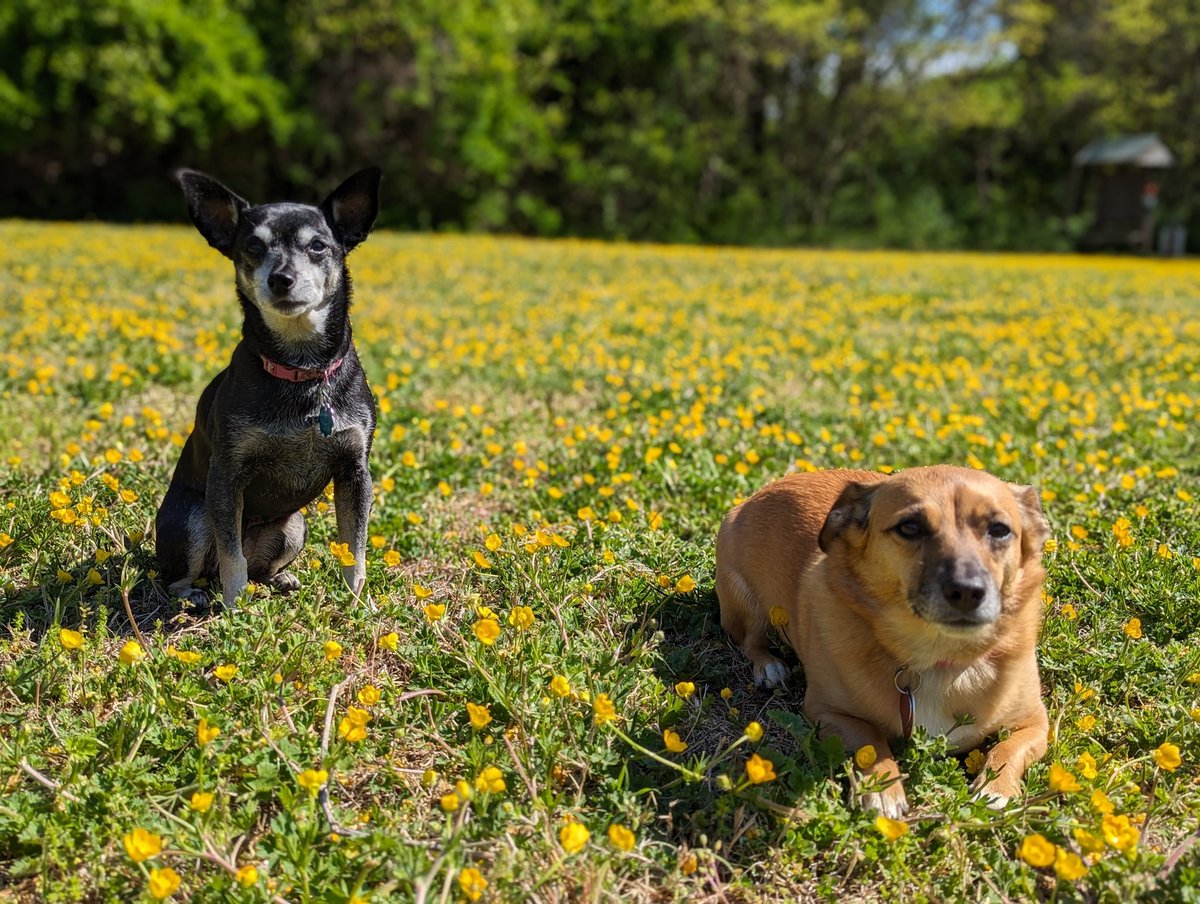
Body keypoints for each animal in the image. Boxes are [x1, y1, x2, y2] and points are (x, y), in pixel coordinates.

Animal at [156, 168, 379, 607]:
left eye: (318, 246)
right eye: (254, 246)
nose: (281, 279)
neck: (302, 369)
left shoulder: (355, 473)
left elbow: (355, 548)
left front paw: (358, 602)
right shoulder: (227, 475)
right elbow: (232, 557)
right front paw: (234, 607)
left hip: (293, 527)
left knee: (260, 566)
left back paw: (279, 579)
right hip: (194, 519)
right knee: (187, 573)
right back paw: (196, 595)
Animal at [715, 468, 1046, 816]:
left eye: (999, 530)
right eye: (909, 527)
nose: (967, 590)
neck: (937, 655)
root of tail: (756, 496)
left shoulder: (1036, 723)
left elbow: (1010, 748)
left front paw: (996, 788)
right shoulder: (829, 712)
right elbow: (870, 739)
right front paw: (883, 788)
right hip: (743, 598)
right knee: (750, 640)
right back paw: (769, 665)